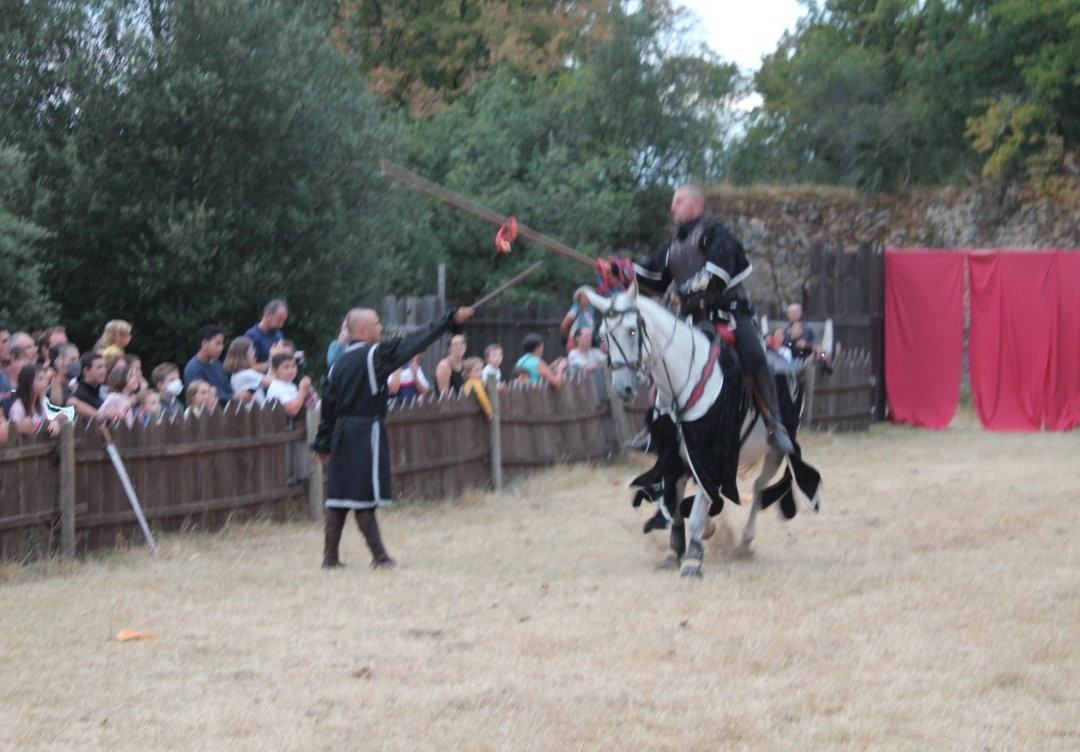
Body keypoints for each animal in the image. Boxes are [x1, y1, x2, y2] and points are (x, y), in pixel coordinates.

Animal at [583, 285, 816, 579]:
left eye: (632, 330)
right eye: (603, 335)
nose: (621, 388)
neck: (683, 376)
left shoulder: (709, 455)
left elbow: (697, 508)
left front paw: (693, 558)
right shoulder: (675, 457)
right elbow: (675, 506)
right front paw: (675, 551)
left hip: (774, 450)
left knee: (759, 486)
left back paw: (745, 541)